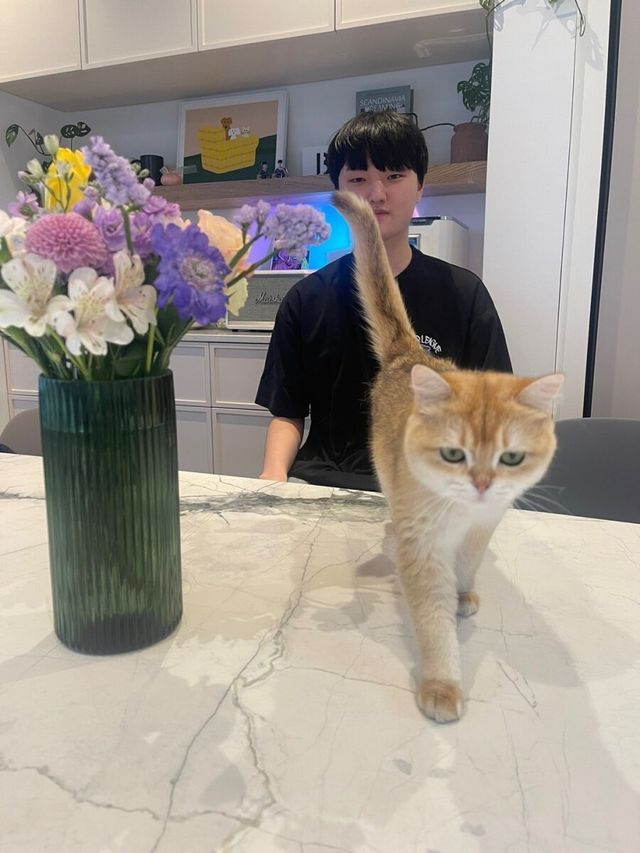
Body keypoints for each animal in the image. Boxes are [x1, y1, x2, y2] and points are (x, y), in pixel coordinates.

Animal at [332, 190, 564, 723]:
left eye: (511, 458)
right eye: (453, 454)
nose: (481, 483)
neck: (462, 513)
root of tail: (412, 355)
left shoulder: (483, 529)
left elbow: (468, 567)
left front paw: (463, 594)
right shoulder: (425, 545)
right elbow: (433, 620)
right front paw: (442, 684)